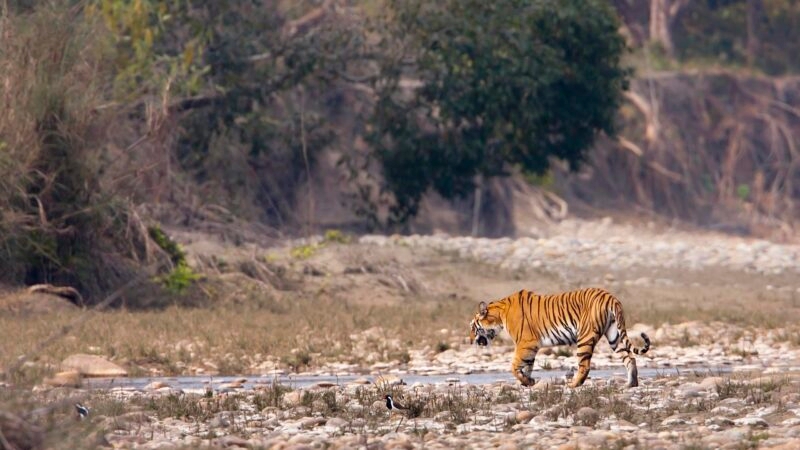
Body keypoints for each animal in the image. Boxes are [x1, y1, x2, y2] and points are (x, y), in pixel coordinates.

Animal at [469, 287, 650, 388]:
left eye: (473, 327)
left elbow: (514, 366)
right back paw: (630, 384)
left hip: (584, 337)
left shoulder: (525, 343)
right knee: (630, 358)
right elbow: (527, 366)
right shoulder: (530, 347)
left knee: (585, 366)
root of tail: (609, 296)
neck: (500, 314)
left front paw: (527, 382)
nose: (470, 340)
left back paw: (573, 385)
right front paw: (527, 382)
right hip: (614, 336)